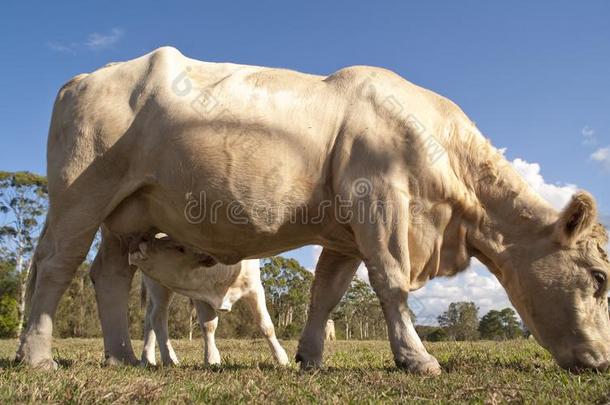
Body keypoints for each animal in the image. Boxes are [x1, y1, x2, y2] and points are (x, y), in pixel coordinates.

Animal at [127, 234, 288, 366]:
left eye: (180, 247)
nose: (143, 244)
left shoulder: (255, 289)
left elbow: (266, 325)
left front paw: (281, 358)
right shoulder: (199, 294)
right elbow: (208, 325)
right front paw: (212, 359)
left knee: (149, 318)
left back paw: (147, 359)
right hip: (159, 287)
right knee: (157, 317)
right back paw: (169, 359)